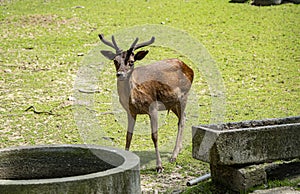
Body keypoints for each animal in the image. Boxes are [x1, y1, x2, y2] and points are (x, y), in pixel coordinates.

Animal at [98, 33, 195, 173]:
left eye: (131, 62)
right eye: (115, 61)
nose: (120, 74)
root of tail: (189, 68)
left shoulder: (152, 108)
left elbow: (154, 136)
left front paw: (159, 166)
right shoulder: (130, 112)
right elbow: (128, 135)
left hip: (184, 95)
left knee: (181, 120)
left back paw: (173, 156)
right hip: (172, 102)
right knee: (184, 117)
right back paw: (178, 149)